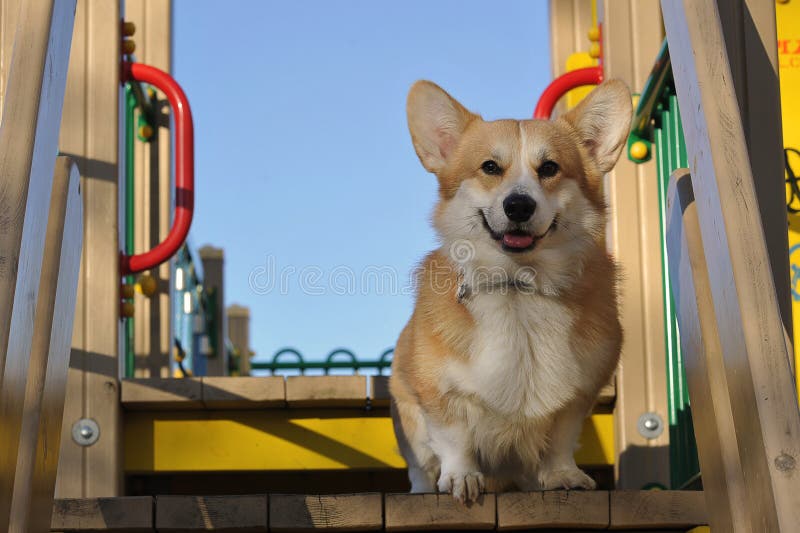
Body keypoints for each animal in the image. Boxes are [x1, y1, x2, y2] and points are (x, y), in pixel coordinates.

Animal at [390, 80, 632, 502]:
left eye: (549, 168)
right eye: (490, 167)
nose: (518, 205)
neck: (519, 285)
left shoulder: (577, 396)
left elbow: (560, 440)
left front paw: (563, 475)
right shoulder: (437, 392)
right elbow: (454, 439)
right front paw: (462, 477)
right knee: (421, 465)